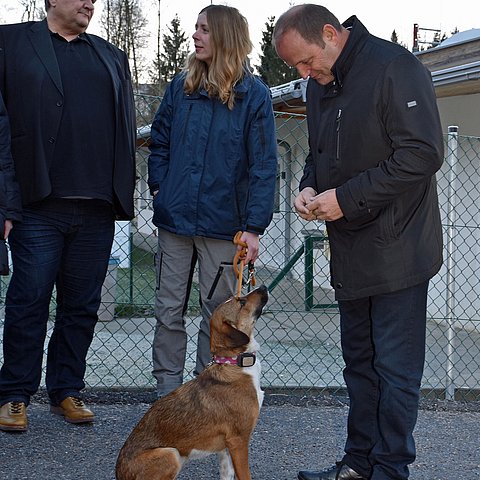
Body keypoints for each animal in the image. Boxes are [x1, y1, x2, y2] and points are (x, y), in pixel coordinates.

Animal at [114, 284, 268, 480]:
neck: (234, 363)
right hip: (171, 454)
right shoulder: (238, 441)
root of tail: (120, 473)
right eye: (241, 302)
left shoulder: (226, 447)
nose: (263, 286)